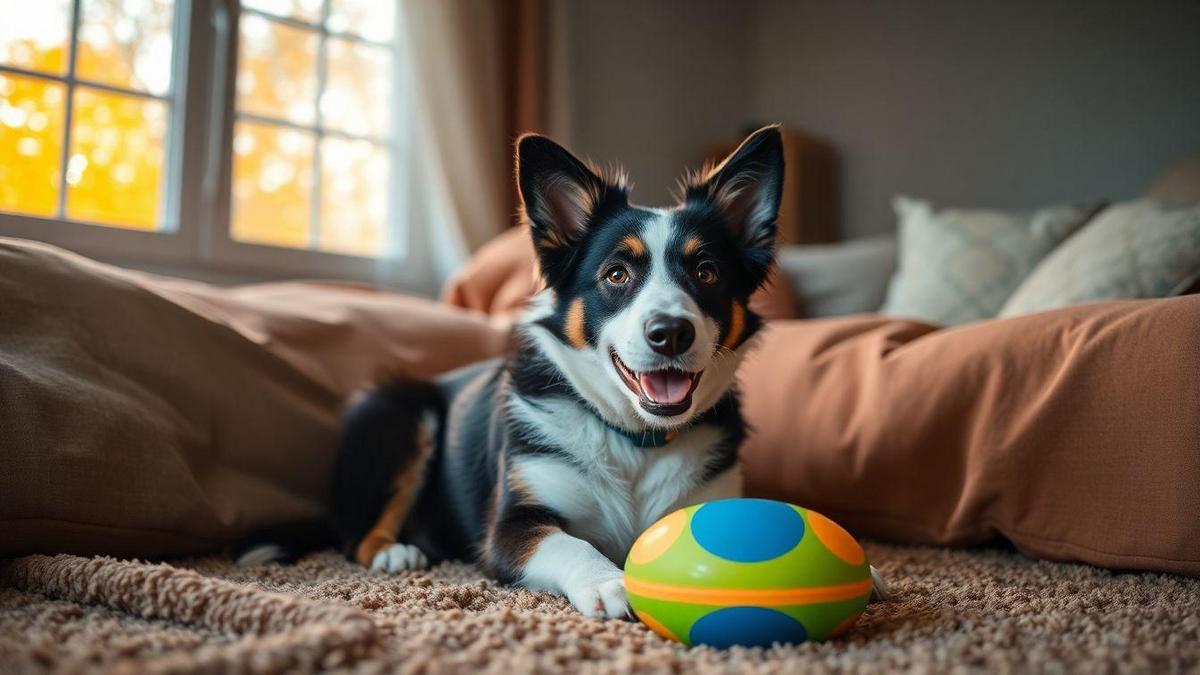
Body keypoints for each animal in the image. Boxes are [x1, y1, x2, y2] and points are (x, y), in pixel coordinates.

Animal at [236, 124, 892, 614]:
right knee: (355, 534)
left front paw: (864, 570)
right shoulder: (512, 526)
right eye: (616, 274)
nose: (670, 332)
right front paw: (608, 580)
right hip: (396, 412)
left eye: (706, 271)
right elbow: (571, 544)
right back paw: (393, 551)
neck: (634, 440)